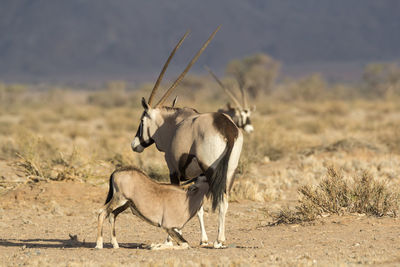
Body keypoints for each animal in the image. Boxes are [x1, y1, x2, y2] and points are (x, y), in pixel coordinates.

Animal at [131, 26, 244, 248]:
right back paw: (220, 239)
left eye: (141, 120)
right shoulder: (197, 177)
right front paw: (203, 239)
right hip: (230, 172)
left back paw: (218, 240)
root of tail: (227, 128)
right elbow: (197, 207)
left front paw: (171, 237)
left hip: (212, 170)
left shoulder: (174, 171)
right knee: (225, 201)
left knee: (221, 201)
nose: (135, 144)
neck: (172, 124)